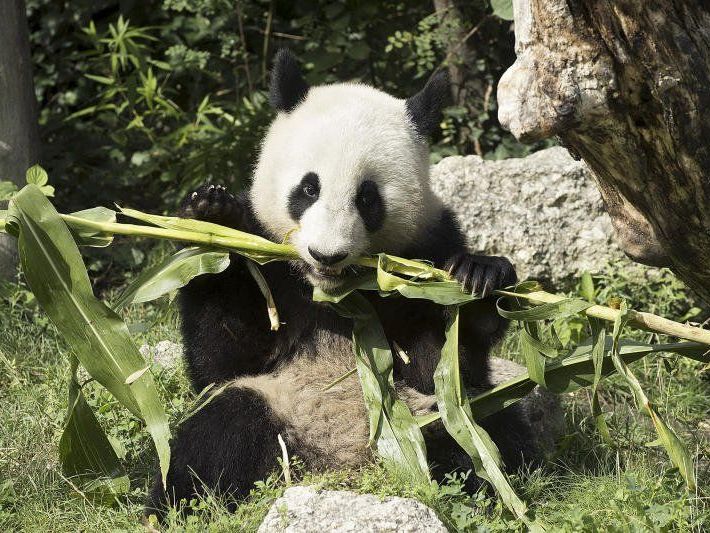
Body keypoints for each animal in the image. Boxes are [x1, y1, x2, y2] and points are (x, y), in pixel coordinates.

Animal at [147, 48, 544, 516]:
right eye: (308, 188)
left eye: (367, 197)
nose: (327, 255)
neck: (332, 294)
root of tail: (341, 468)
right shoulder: (267, 256)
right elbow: (222, 362)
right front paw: (212, 219)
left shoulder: (428, 247)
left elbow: (445, 363)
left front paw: (479, 277)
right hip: (277, 406)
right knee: (218, 430)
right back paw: (175, 505)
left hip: (428, 418)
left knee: (483, 427)